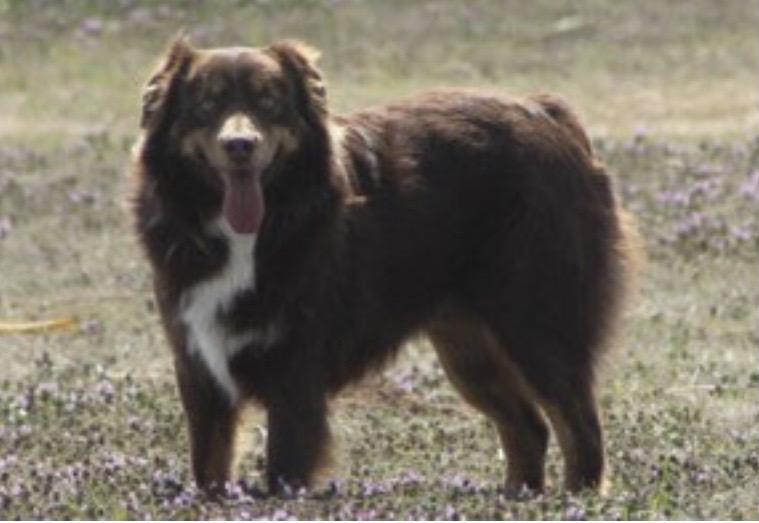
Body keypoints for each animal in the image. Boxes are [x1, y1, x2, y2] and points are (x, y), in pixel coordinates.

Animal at [132, 35, 638, 495]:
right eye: (206, 105)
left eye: (268, 102)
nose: (240, 144)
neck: (249, 231)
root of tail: (548, 112)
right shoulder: (199, 367)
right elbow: (209, 471)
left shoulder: (296, 373)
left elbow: (283, 475)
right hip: (470, 346)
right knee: (529, 428)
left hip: (537, 323)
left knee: (580, 429)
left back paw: (576, 498)